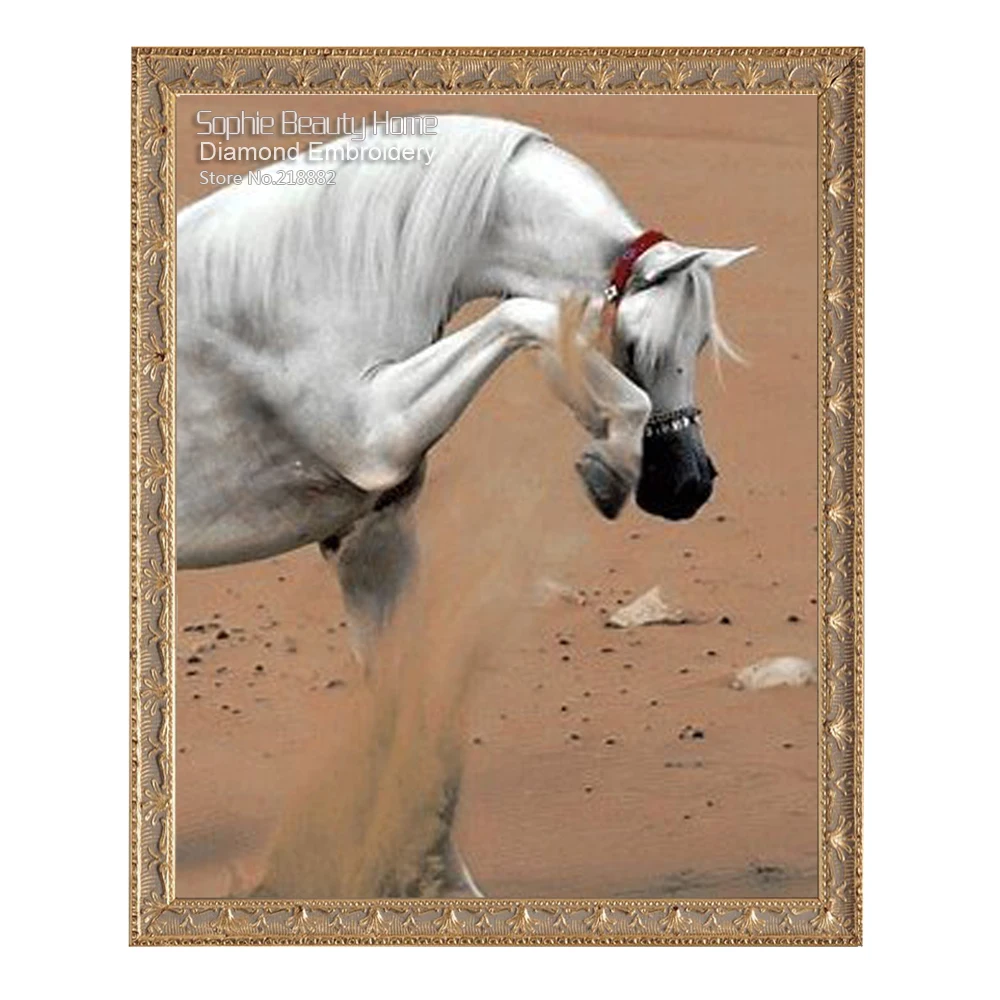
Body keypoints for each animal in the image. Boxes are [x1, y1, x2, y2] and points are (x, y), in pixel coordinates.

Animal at [176, 114, 753, 897]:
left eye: (701, 340)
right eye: (635, 341)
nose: (687, 484)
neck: (320, 272)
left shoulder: (371, 537)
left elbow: (410, 723)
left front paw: (434, 883)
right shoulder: (374, 432)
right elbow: (530, 315)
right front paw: (607, 456)